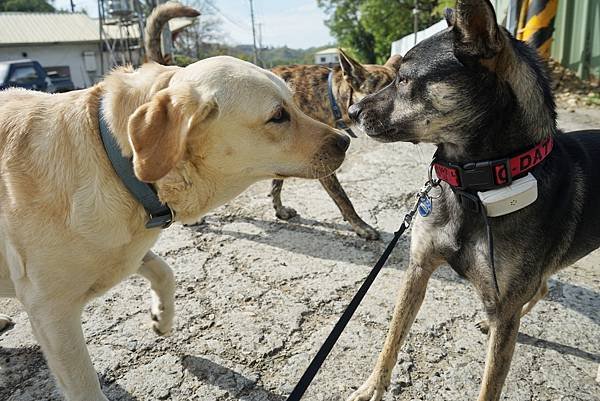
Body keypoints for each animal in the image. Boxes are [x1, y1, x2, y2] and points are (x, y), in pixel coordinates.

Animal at [0, 54, 346, 398]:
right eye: (277, 116)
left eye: (294, 103)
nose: (344, 141)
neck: (115, 163)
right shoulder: (51, 313)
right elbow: (86, 387)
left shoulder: (129, 251)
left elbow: (165, 271)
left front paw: (162, 318)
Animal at [270, 50, 400, 238]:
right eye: (383, 93)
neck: (330, 95)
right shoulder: (322, 163)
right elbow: (342, 197)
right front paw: (361, 226)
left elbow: (276, 184)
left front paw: (280, 210)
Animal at [346, 0, 600, 400]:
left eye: (404, 79)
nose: (352, 113)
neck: (474, 186)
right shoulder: (418, 268)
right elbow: (392, 338)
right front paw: (372, 386)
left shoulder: (506, 306)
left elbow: (489, 386)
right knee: (543, 286)